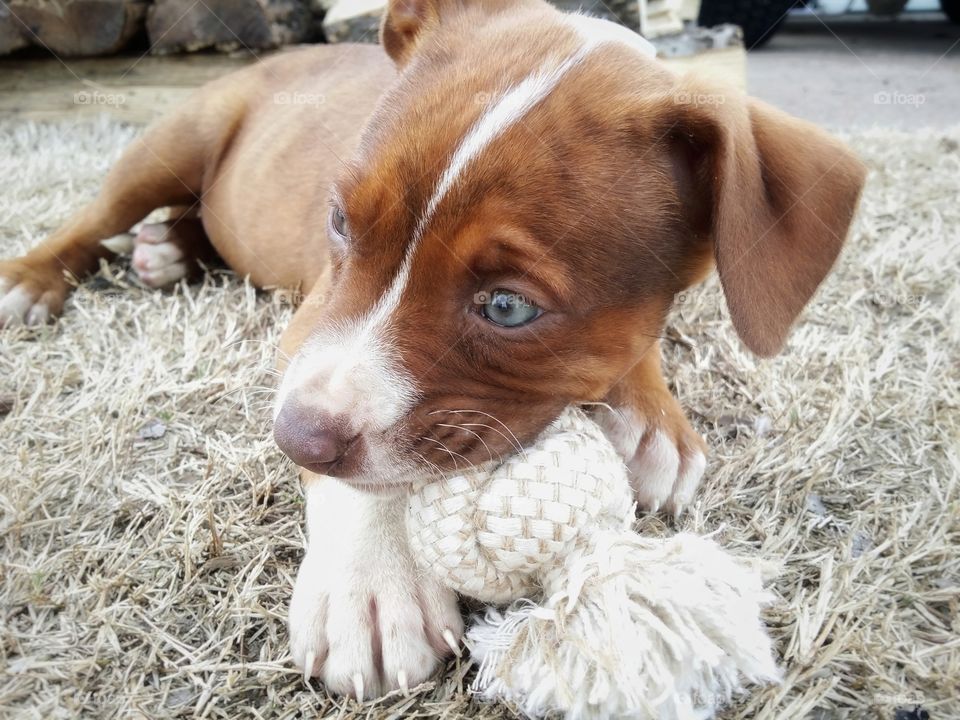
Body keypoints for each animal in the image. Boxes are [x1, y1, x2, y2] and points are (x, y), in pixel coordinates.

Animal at [0, 0, 872, 700]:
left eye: (508, 308)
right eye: (339, 223)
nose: (290, 440)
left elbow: (638, 342)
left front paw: (653, 419)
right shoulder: (314, 320)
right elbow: (358, 460)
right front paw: (370, 588)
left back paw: (172, 249)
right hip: (176, 138)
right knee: (95, 217)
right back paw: (36, 278)